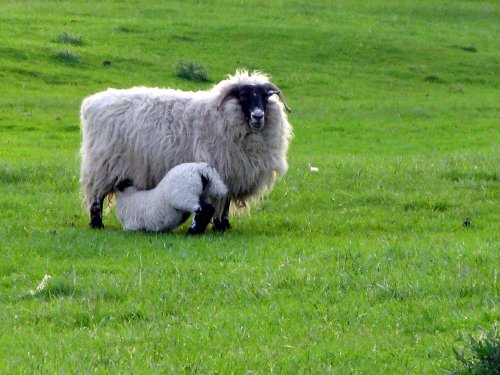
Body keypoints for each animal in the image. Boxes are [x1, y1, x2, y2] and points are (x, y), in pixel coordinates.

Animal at [80, 69, 294, 231]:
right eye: (243, 96)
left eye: (265, 98)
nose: (258, 116)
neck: (223, 117)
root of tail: (91, 103)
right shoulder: (222, 168)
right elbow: (222, 201)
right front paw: (220, 226)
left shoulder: (231, 173)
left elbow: (225, 201)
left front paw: (224, 225)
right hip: (103, 164)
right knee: (96, 196)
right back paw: (97, 224)